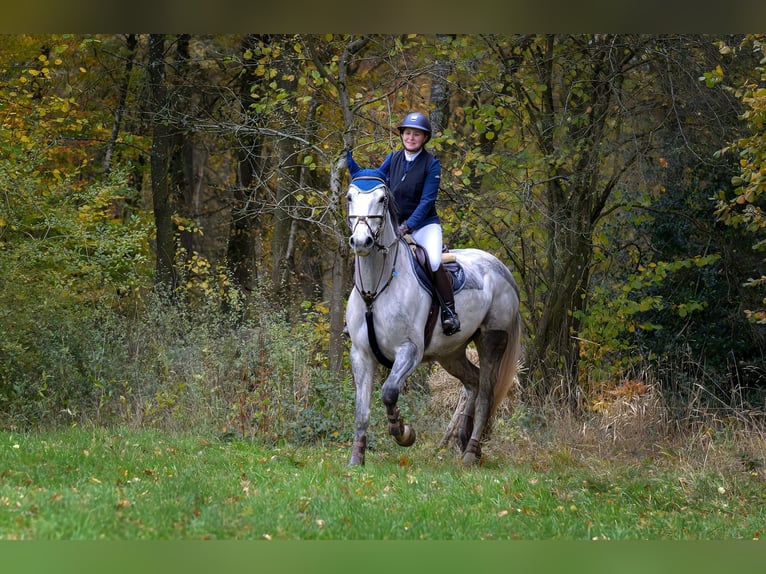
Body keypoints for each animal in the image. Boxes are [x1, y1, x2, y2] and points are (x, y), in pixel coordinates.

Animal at [344, 171, 522, 466]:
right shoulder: (361, 354)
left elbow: (389, 392)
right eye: (349, 197)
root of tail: (502, 269)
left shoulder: (409, 351)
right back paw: (464, 439)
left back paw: (471, 452)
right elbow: (361, 410)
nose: (361, 241)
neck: (374, 291)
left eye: (381, 199)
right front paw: (357, 458)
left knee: (486, 393)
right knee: (473, 381)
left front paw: (403, 432)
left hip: (492, 339)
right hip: (450, 353)